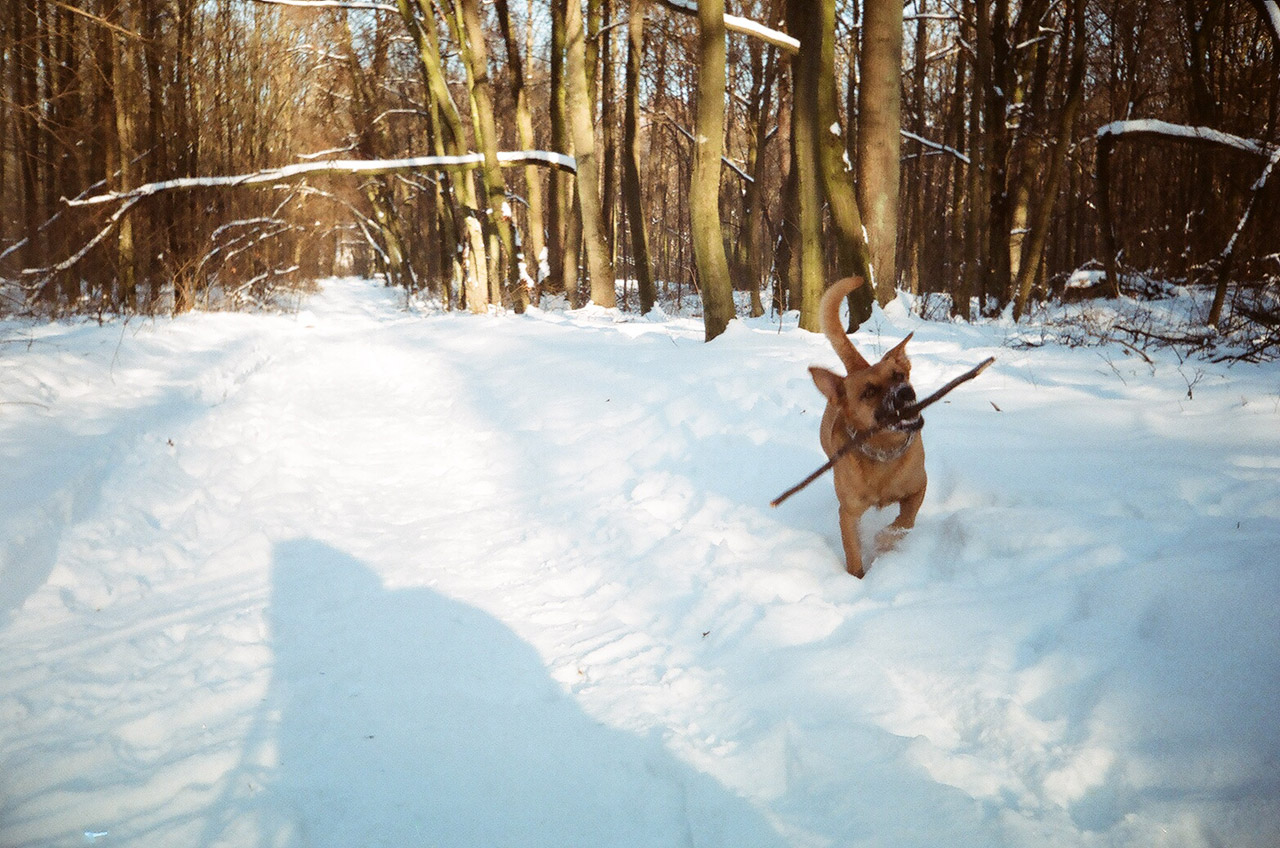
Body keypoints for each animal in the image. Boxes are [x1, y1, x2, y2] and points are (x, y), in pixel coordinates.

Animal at [803, 277, 926, 578]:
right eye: (869, 392)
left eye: (899, 375)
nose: (905, 392)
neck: (883, 452)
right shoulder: (848, 513)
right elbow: (852, 551)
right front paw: (856, 578)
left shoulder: (919, 488)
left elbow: (905, 521)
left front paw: (884, 540)